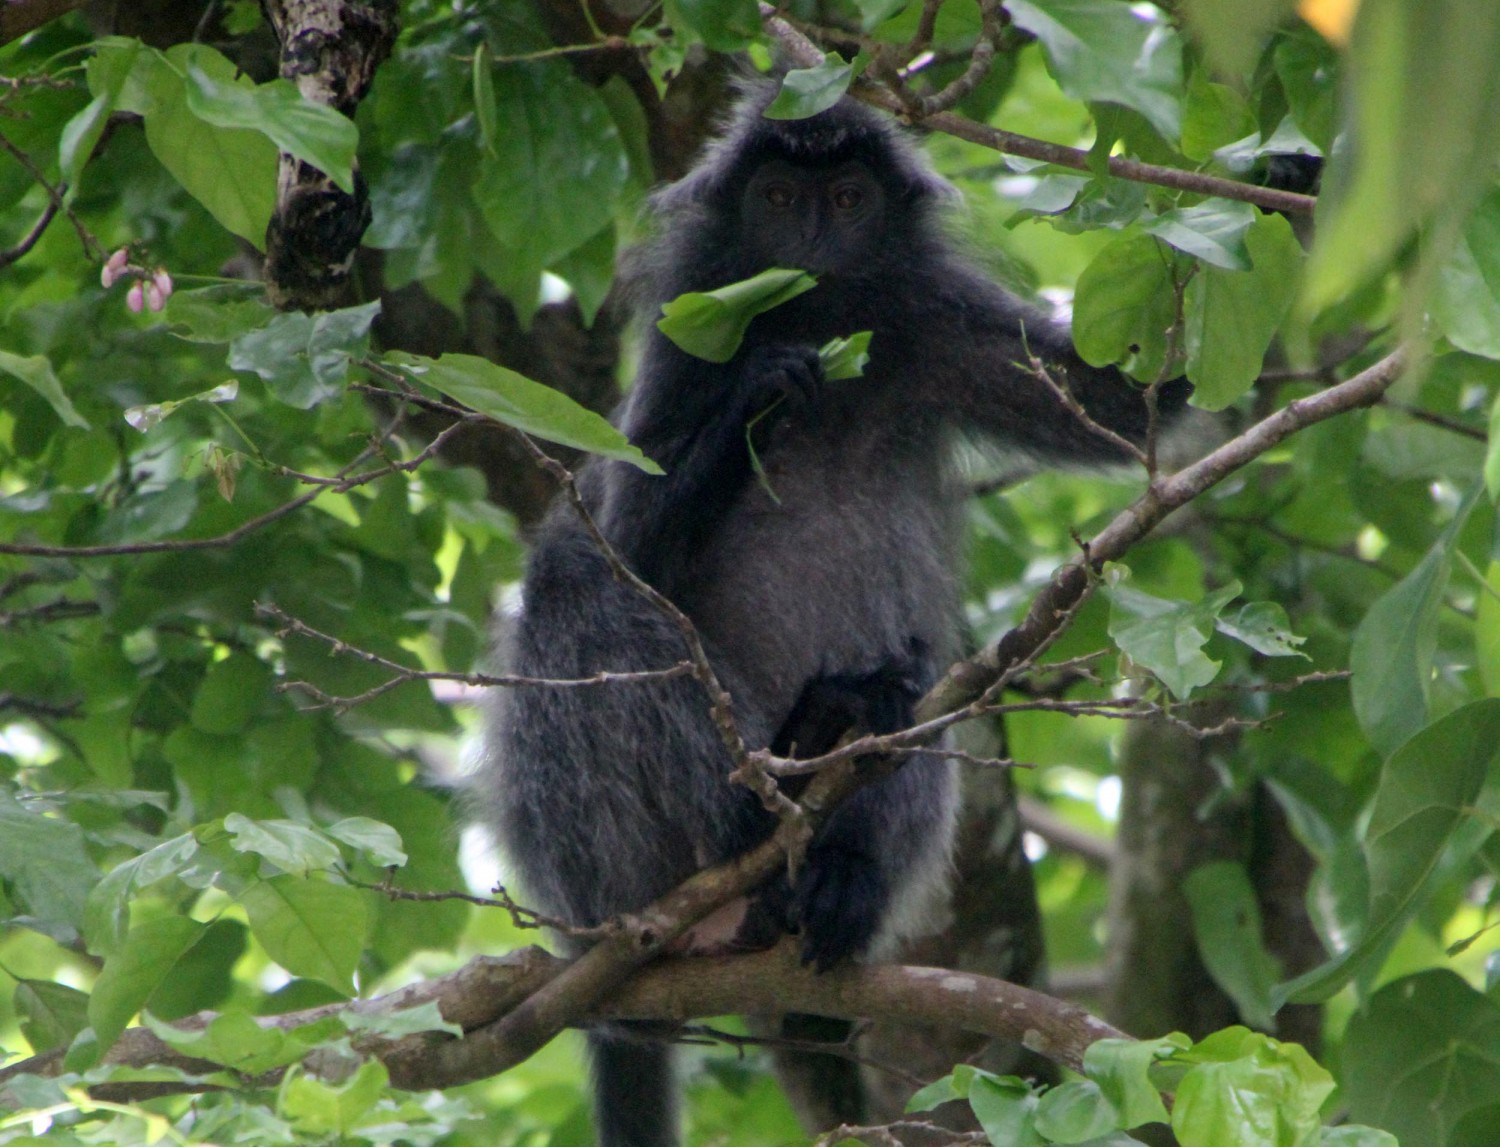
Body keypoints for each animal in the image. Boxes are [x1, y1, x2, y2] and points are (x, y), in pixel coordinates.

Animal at [474, 89, 1189, 1147]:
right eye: (779, 198)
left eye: (847, 198)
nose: (812, 243)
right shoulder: (683, 350)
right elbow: (630, 548)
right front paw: (758, 396)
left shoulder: (938, 326)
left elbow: (1130, 398)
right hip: (600, 868)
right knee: (573, 579)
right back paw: (761, 791)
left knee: (924, 678)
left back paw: (835, 827)